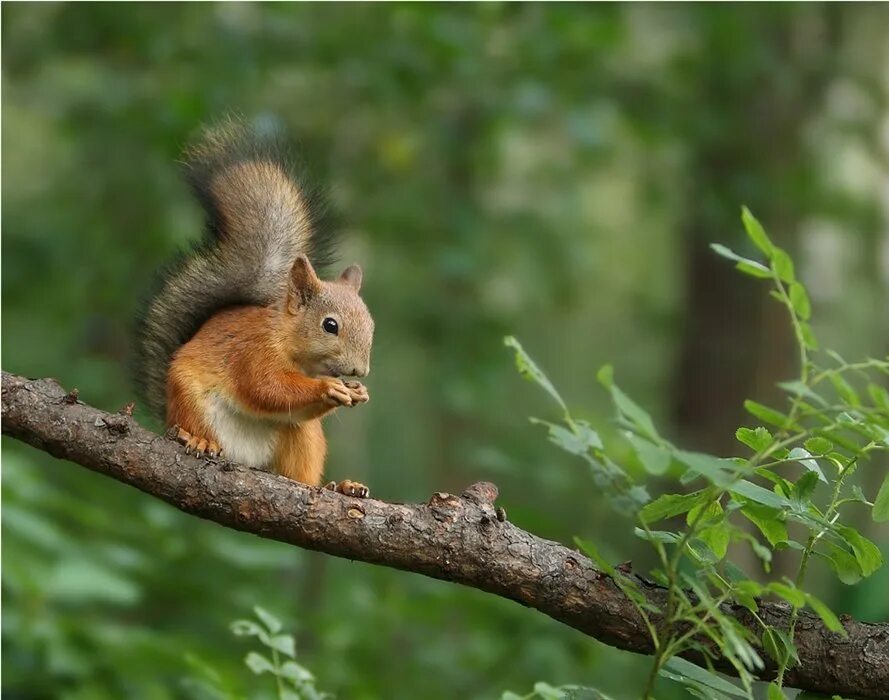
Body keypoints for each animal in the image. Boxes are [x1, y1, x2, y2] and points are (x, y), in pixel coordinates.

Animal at [131, 117, 372, 494]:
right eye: (330, 325)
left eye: (371, 324)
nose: (359, 372)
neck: (291, 344)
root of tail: (248, 459)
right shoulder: (253, 352)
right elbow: (265, 388)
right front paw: (328, 388)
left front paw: (356, 392)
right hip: (190, 402)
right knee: (192, 425)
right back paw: (197, 440)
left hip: (302, 438)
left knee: (300, 473)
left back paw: (338, 487)